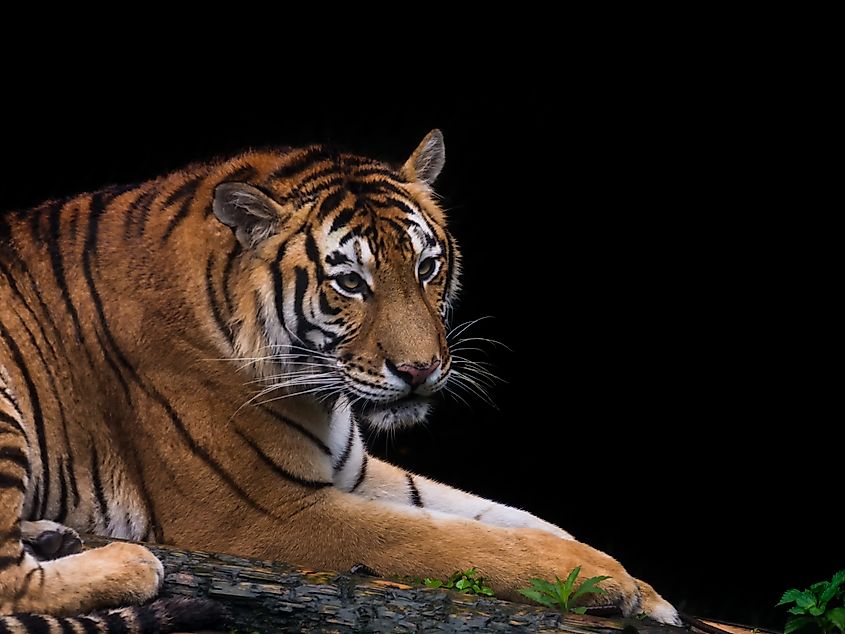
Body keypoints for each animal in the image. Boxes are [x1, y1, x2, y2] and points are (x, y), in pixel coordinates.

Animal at [0, 130, 681, 630]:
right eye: (350, 282)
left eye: (427, 267)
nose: (420, 370)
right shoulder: (268, 512)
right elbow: (454, 542)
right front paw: (605, 582)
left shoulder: (351, 467)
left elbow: (508, 516)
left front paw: (644, 590)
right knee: (12, 586)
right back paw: (129, 563)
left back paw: (53, 534)